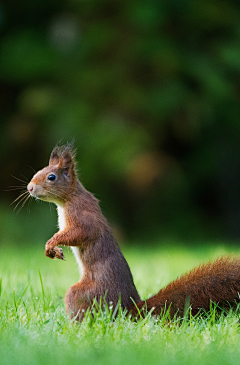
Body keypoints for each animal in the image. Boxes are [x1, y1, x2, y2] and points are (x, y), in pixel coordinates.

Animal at [27, 142, 240, 318]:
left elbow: (79, 233)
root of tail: (129, 308)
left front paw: (52, 244)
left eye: (51, 177)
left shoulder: (82, 216)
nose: (29, 188)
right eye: (38, 171)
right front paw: (54, 249)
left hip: (87, 293)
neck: (68, 198)